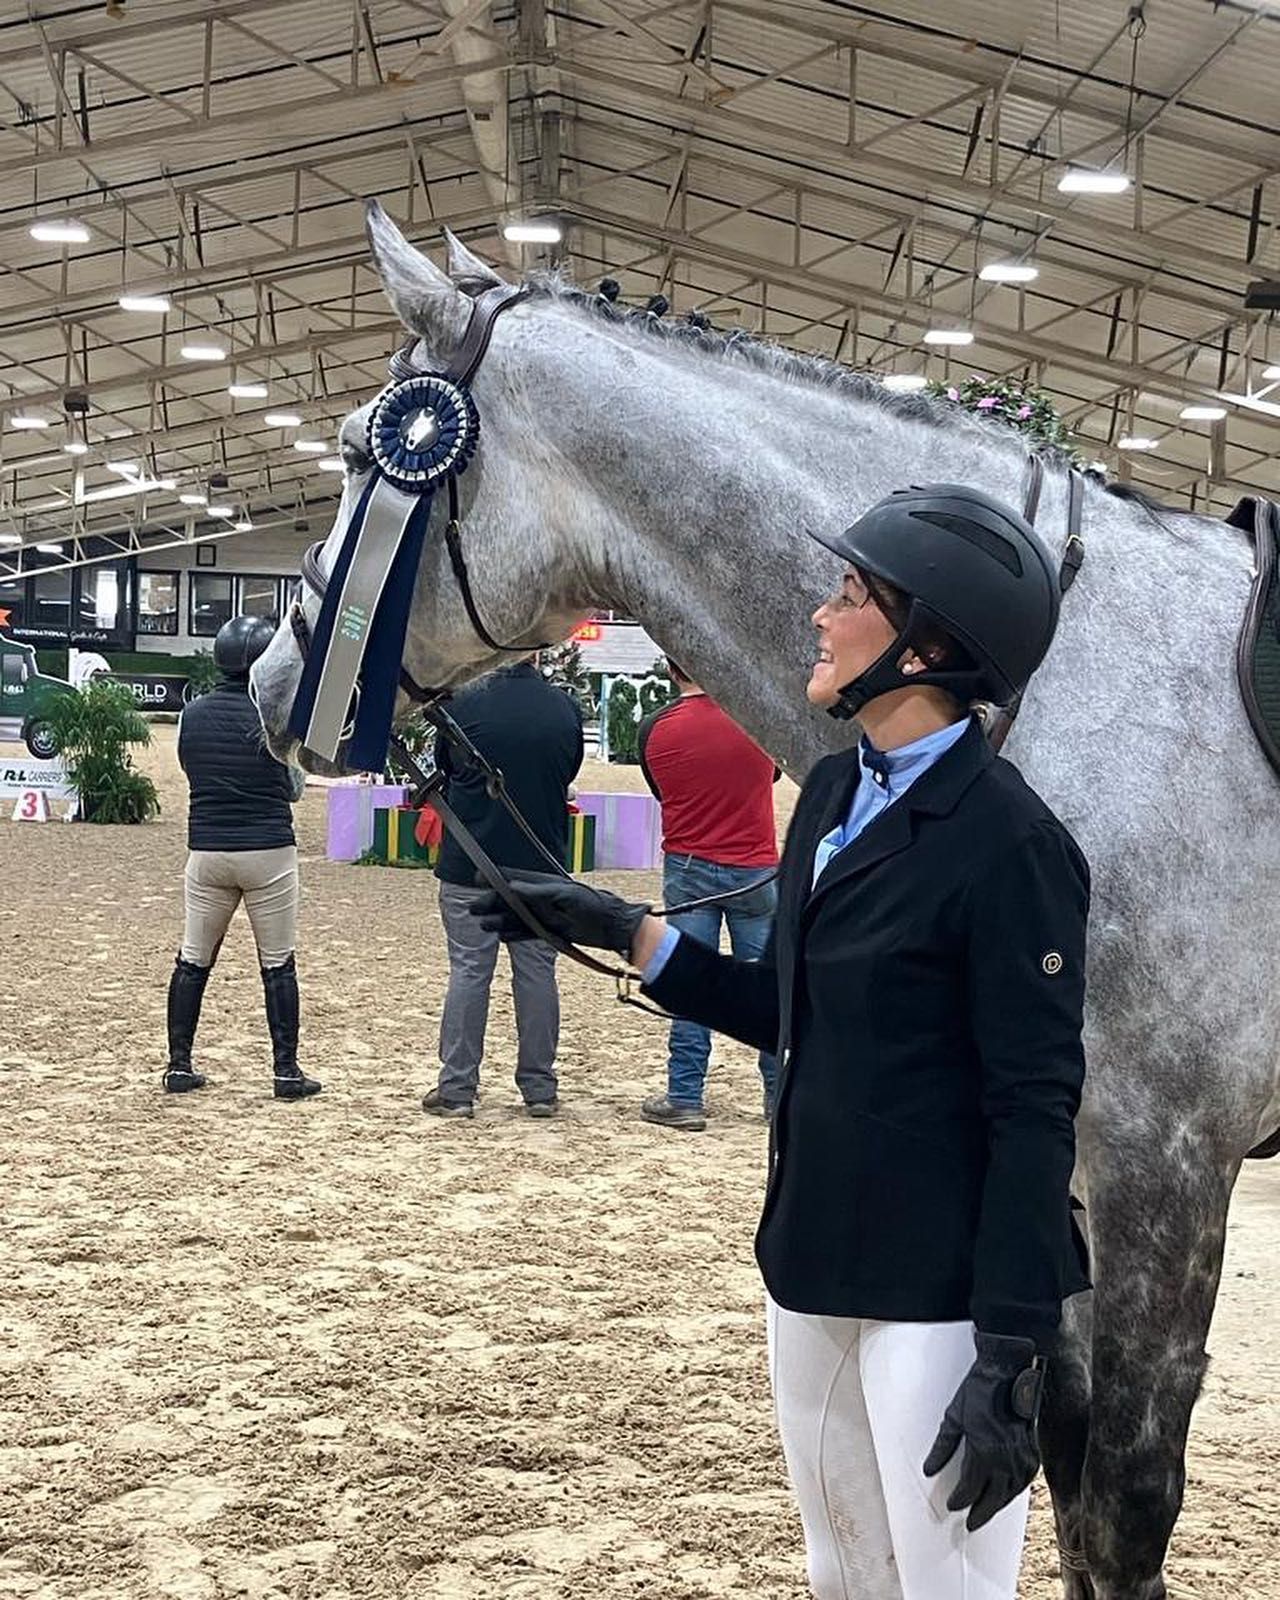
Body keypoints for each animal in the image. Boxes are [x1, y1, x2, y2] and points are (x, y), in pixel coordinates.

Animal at [253, 201, 1280, 1600]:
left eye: (372, 451)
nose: (261, 673)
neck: (1091, 689)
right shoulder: (1063, 1159)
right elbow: (1066, 1473)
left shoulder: (1165, 1159)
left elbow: (1119, 1498)